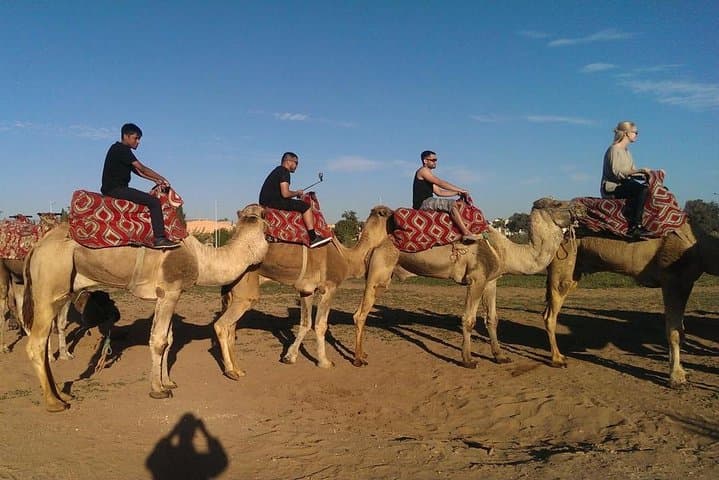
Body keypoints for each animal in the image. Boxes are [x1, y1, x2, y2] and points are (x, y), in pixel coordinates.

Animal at [23, 204, 268, 411]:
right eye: (265, 215)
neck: (201, 258)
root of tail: (36, 248)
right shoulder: (169, 291)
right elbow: (159, 341)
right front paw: (158, 390)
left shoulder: (170, 295)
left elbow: (169, 340)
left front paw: (168, 382)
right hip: (49, 286)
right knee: (36, 344)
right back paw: (54, 402)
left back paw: (63, 394)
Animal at [216, 206, 393, 378]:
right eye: (386, 213)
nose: (397, 216)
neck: (346, 257)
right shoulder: (329, 287)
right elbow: (320, 325)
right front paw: (325, 362)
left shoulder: (306, 291)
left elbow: (305, 324)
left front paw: (289, 357)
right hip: (244, 290)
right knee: (222, 325)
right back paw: (231, 371)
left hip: (233, 290)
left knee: (231, 328)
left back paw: (238, 369)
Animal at [352, 198, 583, 368]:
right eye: (557, 204)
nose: (579, 210)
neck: (505, 251)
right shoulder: (476, 279)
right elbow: (469, 319)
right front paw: (468, 360)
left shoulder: (491, 281)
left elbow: (492, 319)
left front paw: (500, 356)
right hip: (379, 272)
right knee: (360, 314)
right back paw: (358, 359)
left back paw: (363, 354)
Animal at [542, 221, 719, 388]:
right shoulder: (672, 278)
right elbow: (674, 332)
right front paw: (676, 378)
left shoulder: (687, 282)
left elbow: (680, 331)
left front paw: (682, 372)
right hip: (563, 262)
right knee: (551, 313)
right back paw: (558, 360)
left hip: (575, 269)